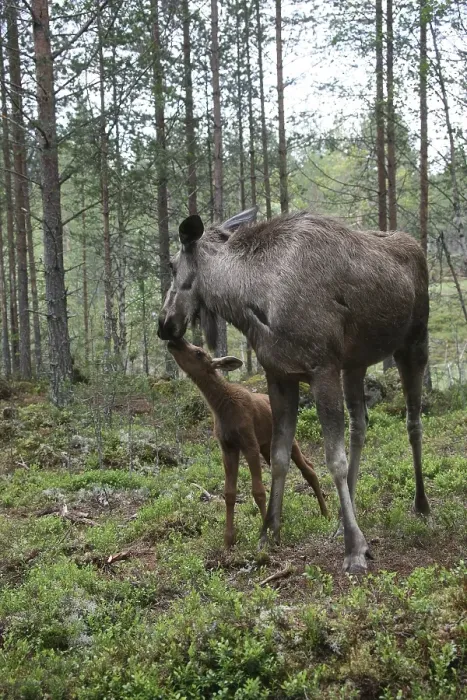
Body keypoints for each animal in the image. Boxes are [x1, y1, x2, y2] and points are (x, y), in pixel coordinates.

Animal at [167, 337, 328, 548]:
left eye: (199, 353)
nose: (174, 341)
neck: (221, 408)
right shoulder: (228, 447)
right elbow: (229, 493)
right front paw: (229, 538)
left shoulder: (249, 443)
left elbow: (258, 491)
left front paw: (265, 535)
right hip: (266, 447)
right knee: (284, 472)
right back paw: (281, 517)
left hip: (289, 441)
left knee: (309, 469)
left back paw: (325, 513)